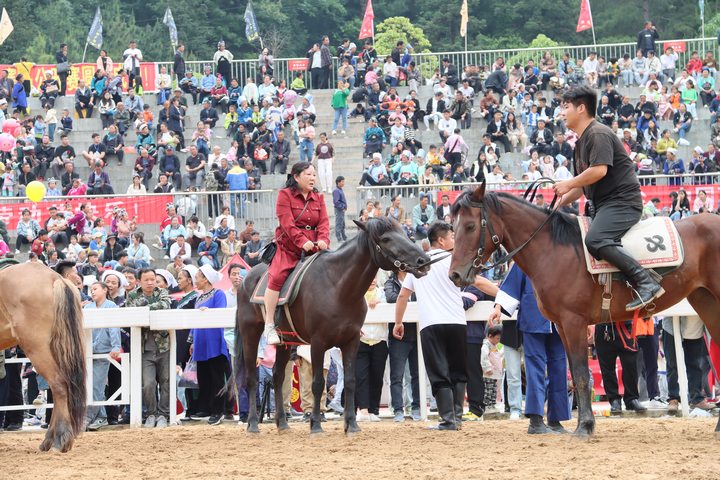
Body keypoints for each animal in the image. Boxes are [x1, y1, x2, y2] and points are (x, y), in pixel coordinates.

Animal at [233, 217, 430, 434]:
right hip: (250, 333)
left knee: (277, 376)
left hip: (285, 341)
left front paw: (351, 424)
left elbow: (351, 382)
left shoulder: (351, 341)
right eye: (386, 239)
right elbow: (318, 383)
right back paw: (253, 423)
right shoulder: (318, 343)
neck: (337, 286)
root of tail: (246, 278)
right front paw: (316, 425)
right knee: (251, 378)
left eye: (404, 233)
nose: (423, 261)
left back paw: (283, 423)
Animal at [448, 183, 720, 437]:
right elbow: (573, 373)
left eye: (470, 226)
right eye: (453, 227)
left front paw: (585, 426)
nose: (455, 275)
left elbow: (579, 373)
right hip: (704, 301)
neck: (553, 250)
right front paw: (581, 423)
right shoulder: (561, 326)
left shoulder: (573, 322)